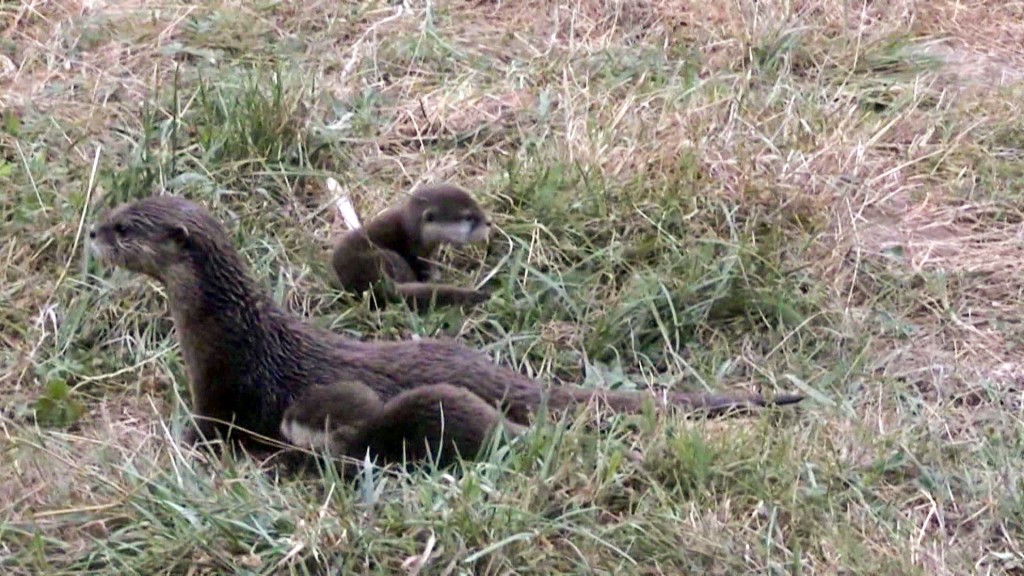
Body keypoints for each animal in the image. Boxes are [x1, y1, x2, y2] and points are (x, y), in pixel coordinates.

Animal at [327, 183, 487, 309]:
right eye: (468, 217)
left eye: (477, 205)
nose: (489, 222)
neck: (411, 232)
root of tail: (372, 282)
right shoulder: (417, 253)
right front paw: (436, 277)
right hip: (388, 258)